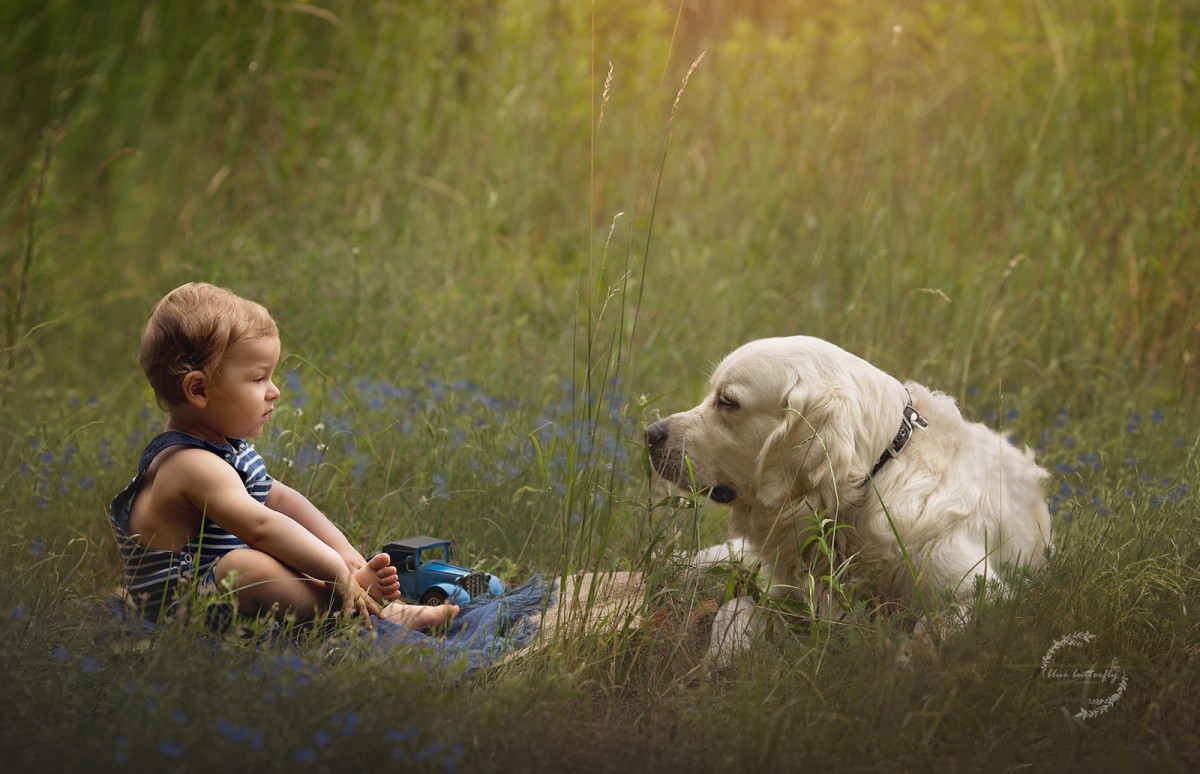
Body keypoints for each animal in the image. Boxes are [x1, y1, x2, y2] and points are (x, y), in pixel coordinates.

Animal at [648, 336, 1051, 662]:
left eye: (728, 402)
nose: (650, 433)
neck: (871, 483)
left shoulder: (984, 591)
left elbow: (930, 630)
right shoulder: (784, 591)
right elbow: (736, 606)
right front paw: (724, 654)